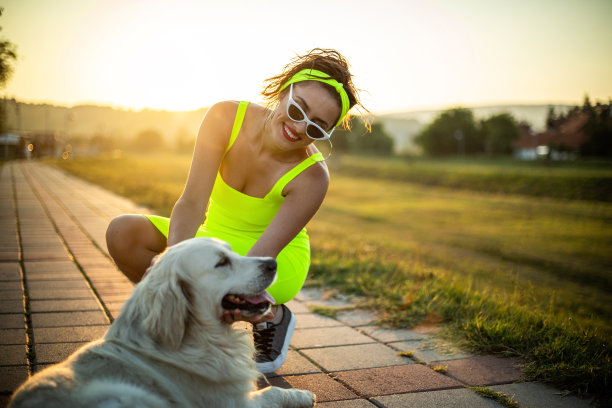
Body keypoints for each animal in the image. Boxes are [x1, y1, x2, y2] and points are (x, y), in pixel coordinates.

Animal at [8, 237, 316, 406]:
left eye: (232, 251)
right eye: (221, 263)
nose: (273, 262)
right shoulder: (232, 403)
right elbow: (272, 392)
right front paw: (303, 396)